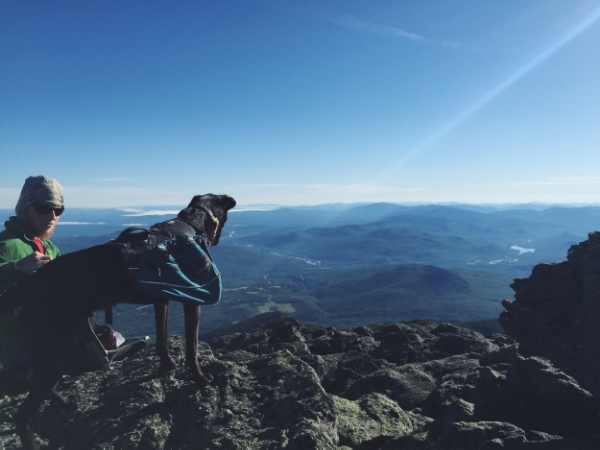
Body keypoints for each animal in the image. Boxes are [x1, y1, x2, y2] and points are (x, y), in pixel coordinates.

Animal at [8, 193, 237, 450]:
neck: (192, 224)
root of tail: (23, 289)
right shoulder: (192, 300)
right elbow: (192, 349)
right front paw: (200, 379)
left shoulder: (161, 301)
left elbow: (162, 340)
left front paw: (168, 365)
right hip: (59, 348)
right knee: (24, 416)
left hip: (58, 345)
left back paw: (67, 402)